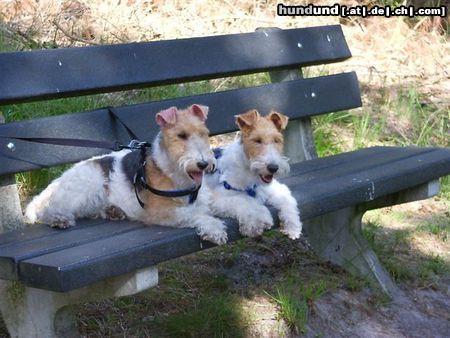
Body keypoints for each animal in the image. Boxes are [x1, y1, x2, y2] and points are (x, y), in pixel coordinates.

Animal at [207, 109, 302, 239]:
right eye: (257, 140)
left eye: (277, 140)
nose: (273, 168)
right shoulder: (217, 197)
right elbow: (244, 201)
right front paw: (256, 223)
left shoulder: (274, 188)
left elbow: (287, 201)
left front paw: (293, 227)